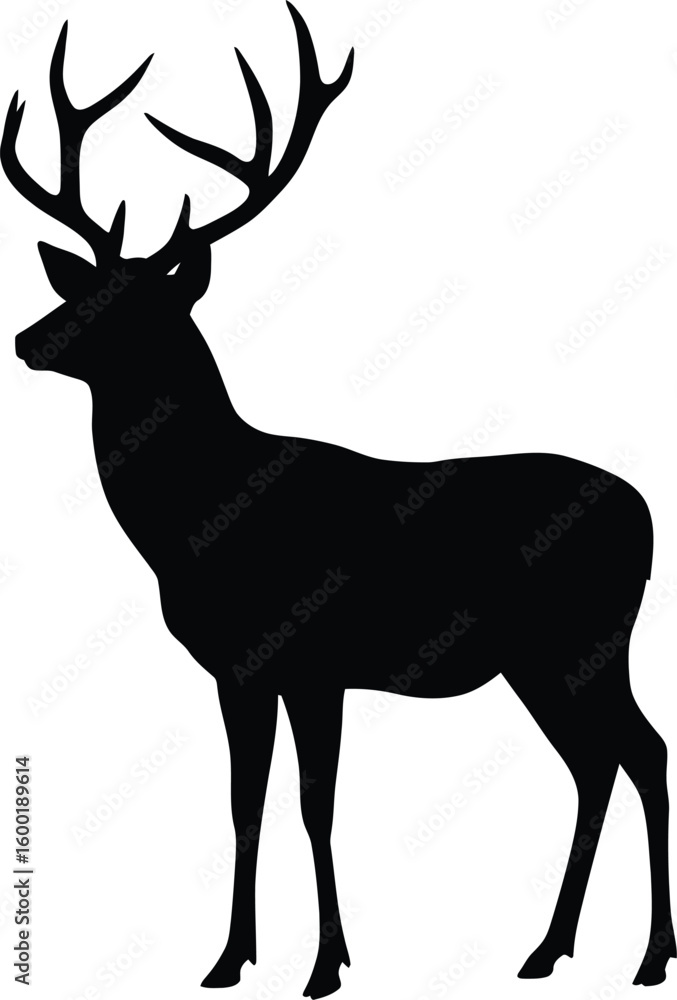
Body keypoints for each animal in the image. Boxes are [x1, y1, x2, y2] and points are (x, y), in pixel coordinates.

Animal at [2, 5, 673, 997]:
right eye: (83, 285)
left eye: (139, 307)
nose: (25, 339)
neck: (200, 522)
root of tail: (647, 515)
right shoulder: (238, 669)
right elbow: (243, 802)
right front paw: (228, 959)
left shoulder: (316, 657)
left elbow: (315, 805)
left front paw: (324, 964)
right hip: (541, 659)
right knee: (599, 762)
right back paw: (550, 949)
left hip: (582, 636)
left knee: (640, 752)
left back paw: (645, 954)